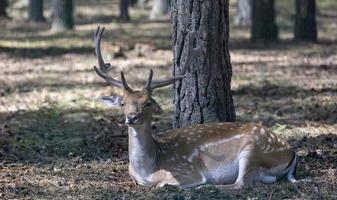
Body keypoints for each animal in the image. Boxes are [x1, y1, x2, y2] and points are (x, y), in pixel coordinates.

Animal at [92, 26, 296, 189]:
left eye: (148, 102)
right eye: (123, 103)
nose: (132, 117)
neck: (148, 168)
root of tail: (291, 151)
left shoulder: (187, 171)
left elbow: (162, 183)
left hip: (253, 149)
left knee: (240, 184)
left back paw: (208, 186)